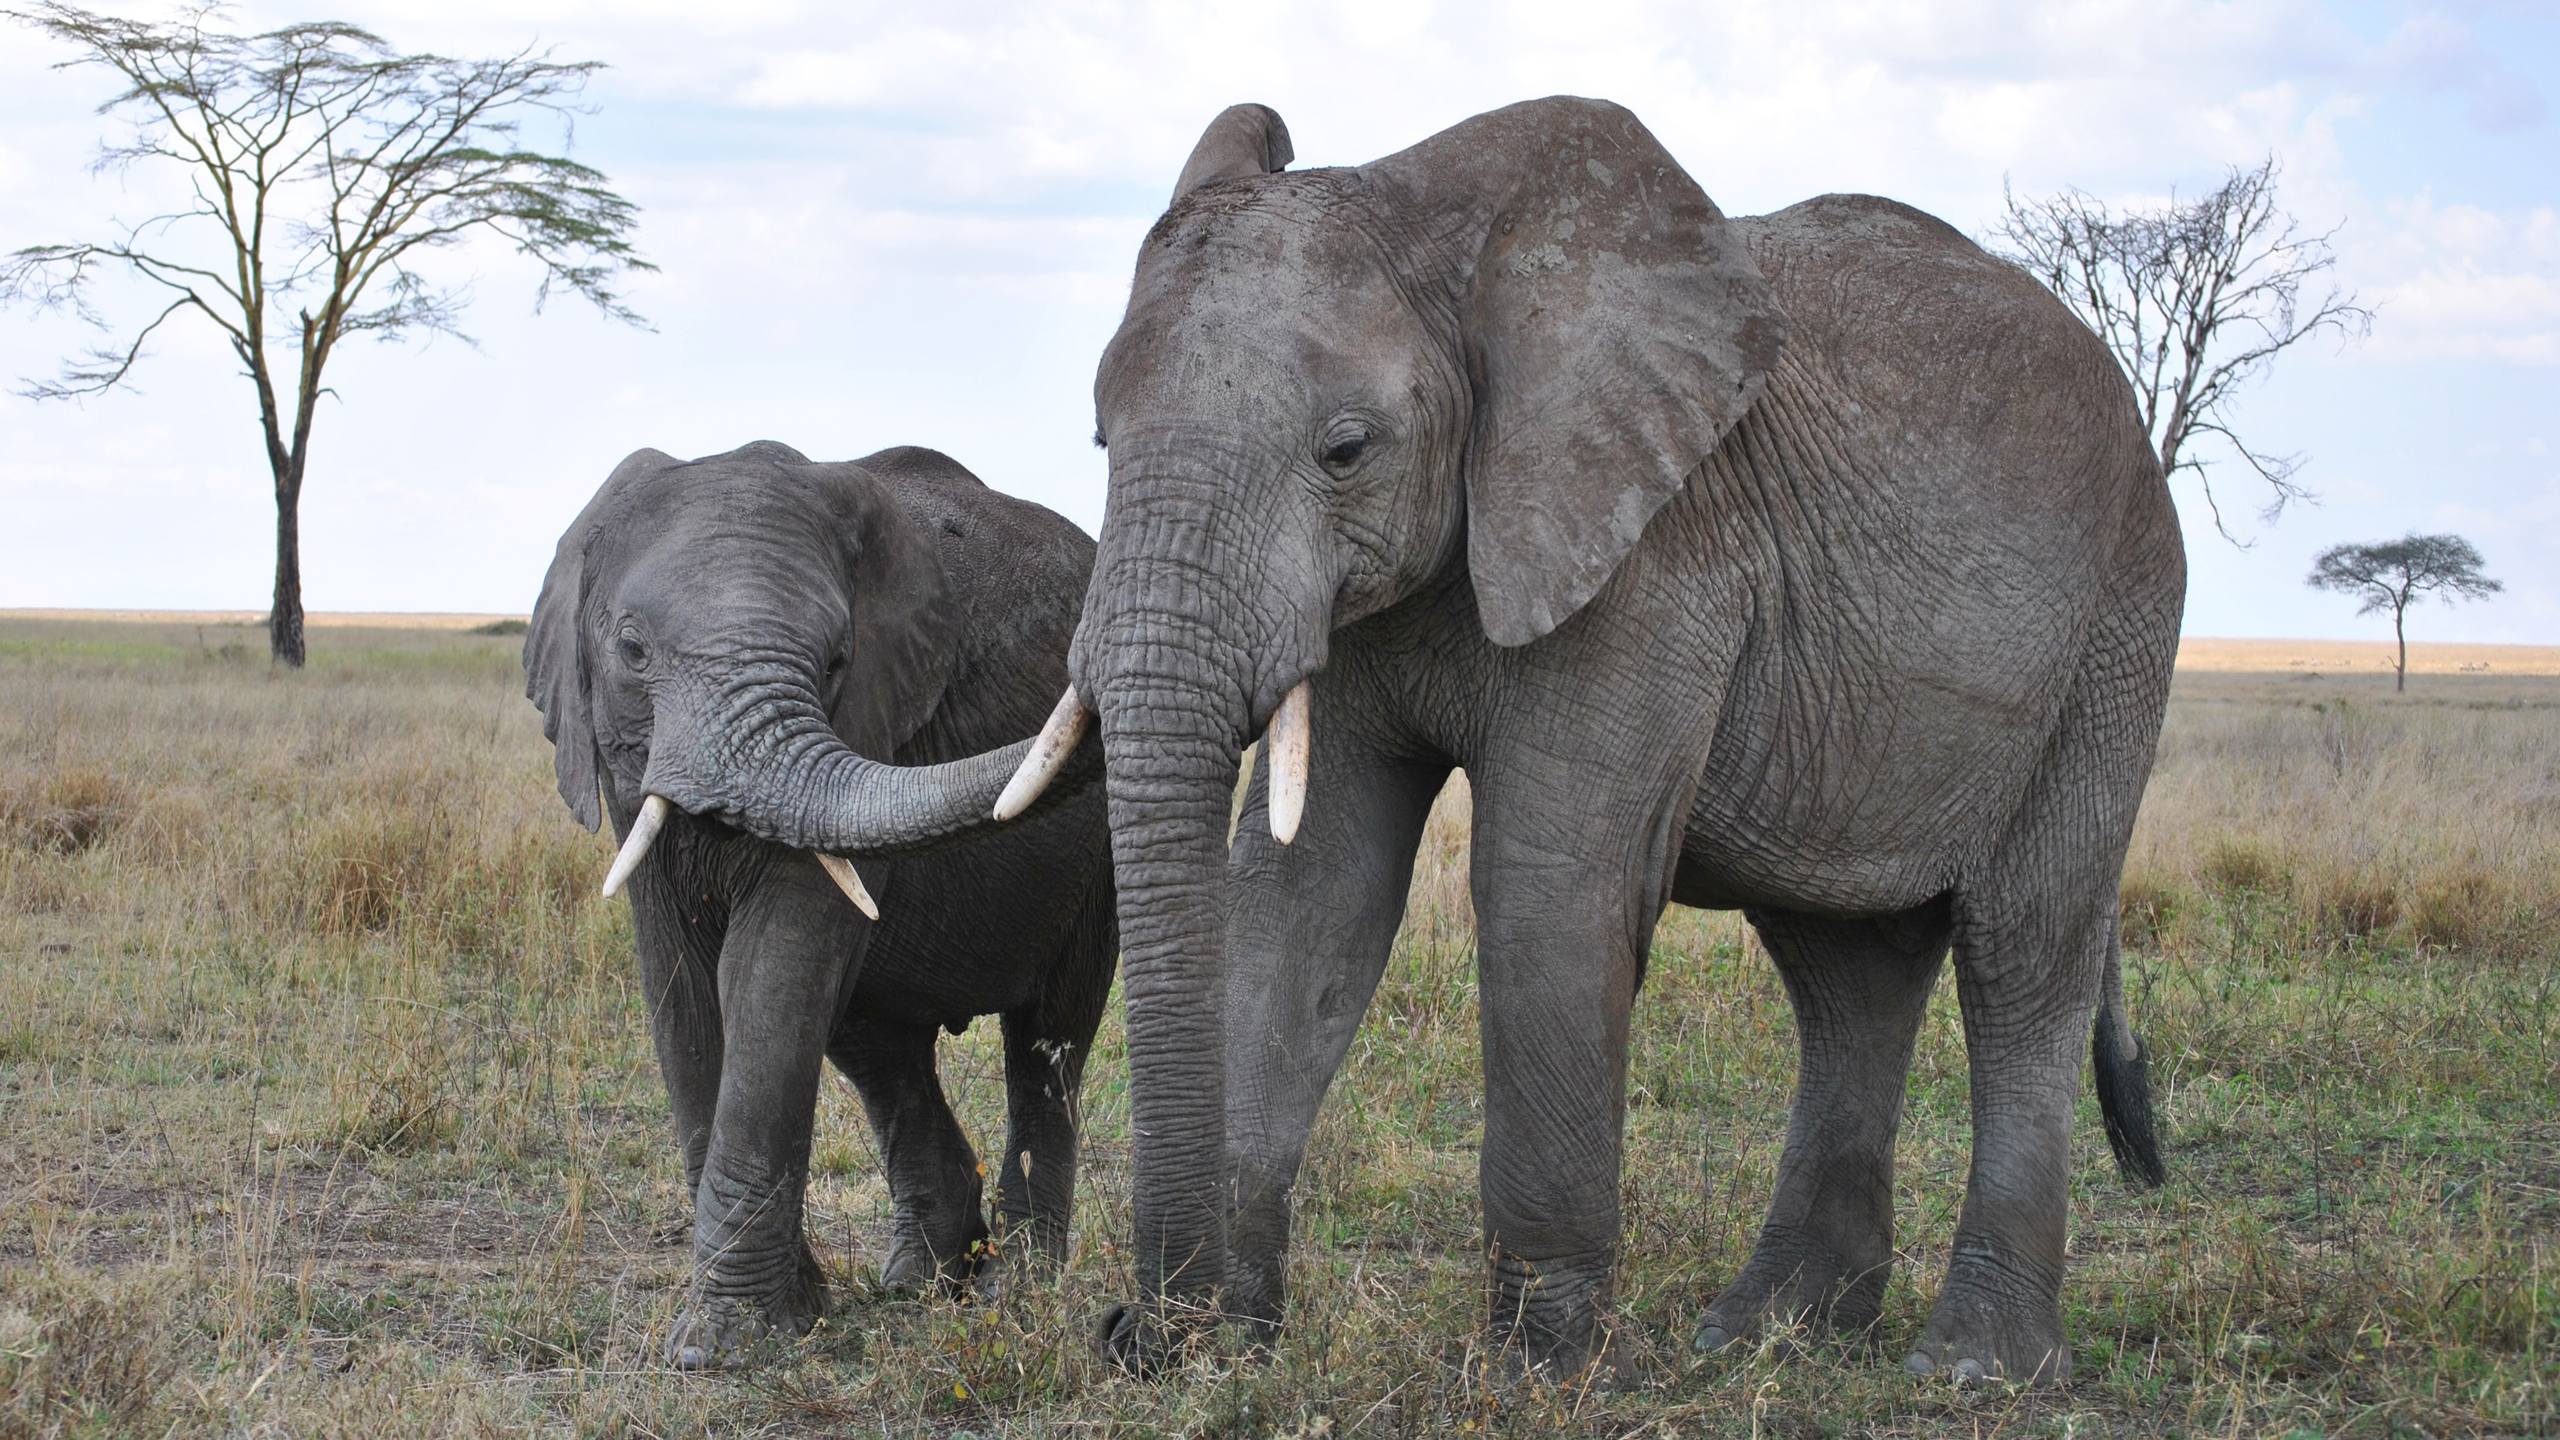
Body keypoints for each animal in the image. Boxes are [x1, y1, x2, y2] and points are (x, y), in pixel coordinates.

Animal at [524, 443, 1116, 1363]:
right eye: (631, 649)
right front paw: (778, 1321)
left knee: (1048, 1038)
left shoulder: (871, 721)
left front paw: (727, 1347)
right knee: (881, 1046)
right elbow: (681, 988)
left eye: (836, 662)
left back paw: (1013, 1294)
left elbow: (772, 969)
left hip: (1096, 867)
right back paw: (921, 1281)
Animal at [977, 95, 2181, 1373]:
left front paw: (1534, 1370)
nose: (1137, 1333)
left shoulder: (1652, 555)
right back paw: (1763, 1338)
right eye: (1101, 442)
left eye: (1345, 451)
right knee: (1844, 972)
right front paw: (1227, 1348)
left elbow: (1543, 886)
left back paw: (1970, 1367)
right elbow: (1309, 893)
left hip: (2116, 626)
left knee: (2021, 951)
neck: (1454, 245)